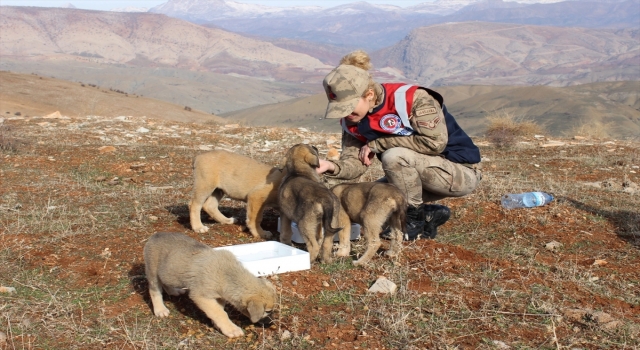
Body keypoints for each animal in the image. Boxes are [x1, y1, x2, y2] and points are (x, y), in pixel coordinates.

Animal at [144, 232, 276, 340]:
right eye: (268, 311)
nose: (271, 323)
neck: (227, 274)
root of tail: (155, 235)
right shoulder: (201, 296)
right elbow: (220, 313)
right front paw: (231, 329)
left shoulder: (220, 297)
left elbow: (219, 309)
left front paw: (217, 324)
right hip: (153, 272)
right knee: (154, 291)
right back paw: (160, 310)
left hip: (168, 273)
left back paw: (173, 291)